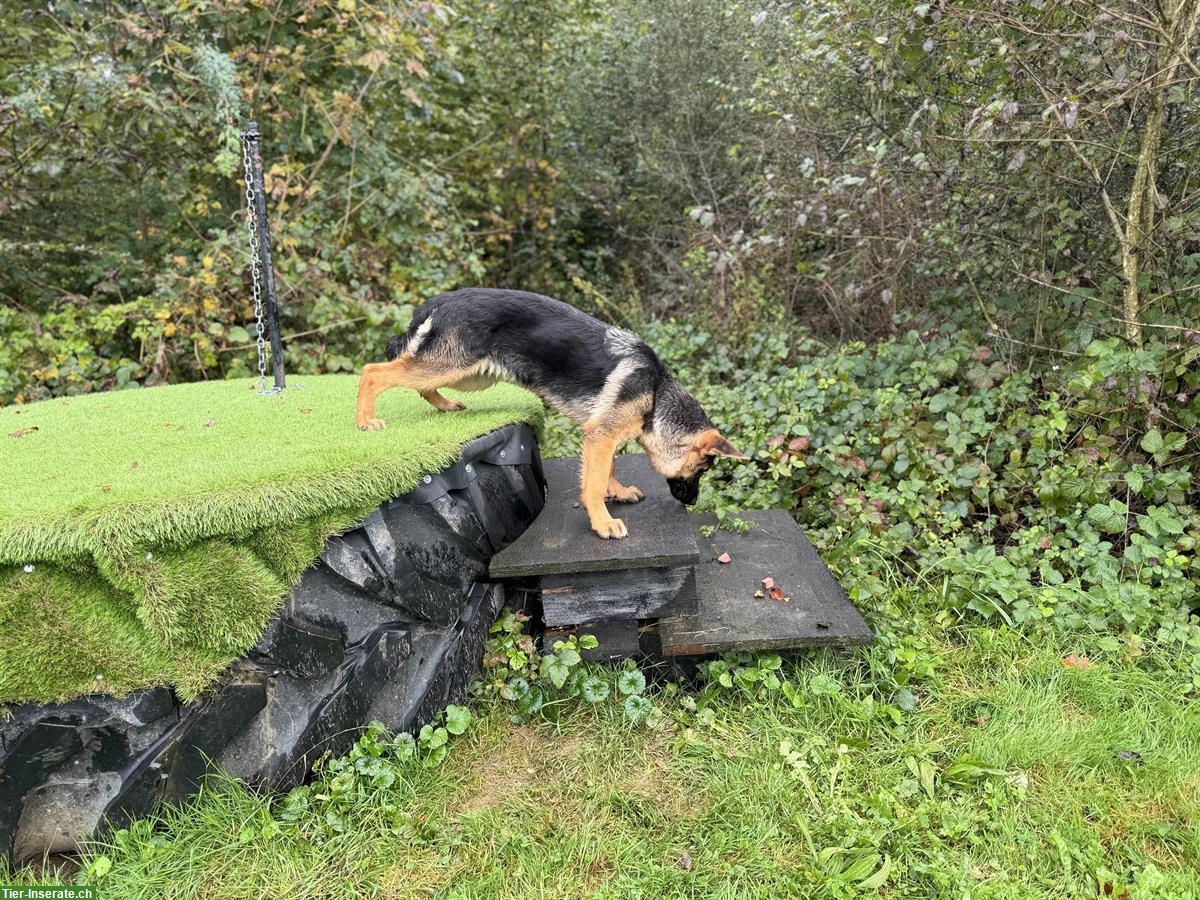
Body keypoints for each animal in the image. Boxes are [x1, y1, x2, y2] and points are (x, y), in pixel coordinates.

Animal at [355, 292, 744, 540]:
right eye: (700, 470)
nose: (692, 503)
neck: (656, 392)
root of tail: (441, 300)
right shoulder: (601, 435)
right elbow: (594, 483)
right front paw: (603, 522)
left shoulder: (600, 435)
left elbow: (606, 470)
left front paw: (616, 491)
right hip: (452, 366)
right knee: (374, 371)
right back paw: (365, 421)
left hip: (469, 375)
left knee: (420, 385)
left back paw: (446, 406)